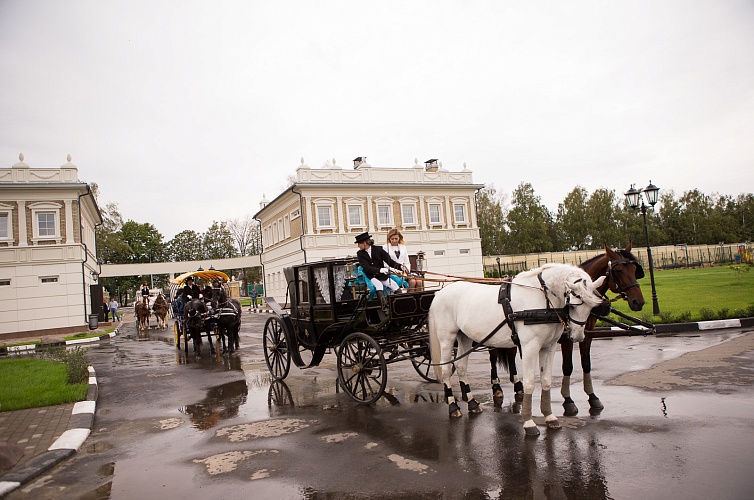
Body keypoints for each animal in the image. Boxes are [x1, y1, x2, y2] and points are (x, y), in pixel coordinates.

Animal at [428, 264, 604, 436]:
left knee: (461, 366)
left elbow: (546, 380)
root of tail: (439, 293)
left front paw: (549, 417)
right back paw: (453, 406)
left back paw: (472, 403)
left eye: (590, 308)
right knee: (445, 369)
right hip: (447, 338)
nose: (578, 336)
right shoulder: (530, 346)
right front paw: (529, 422)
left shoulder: (549, 346)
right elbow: (529, 383)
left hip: (464, 336)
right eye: (572, 305)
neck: (541, 299)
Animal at [490, 245, 644, 414]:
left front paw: (592, 397)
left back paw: (517, 385)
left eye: (634, 269)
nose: (638, 302)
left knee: (511, 354)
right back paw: (497, 386)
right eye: (619, 270)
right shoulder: (566, 339)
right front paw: (568, 400)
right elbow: (568, 367)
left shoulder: (586, 336)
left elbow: (586, 364)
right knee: (493, 357)